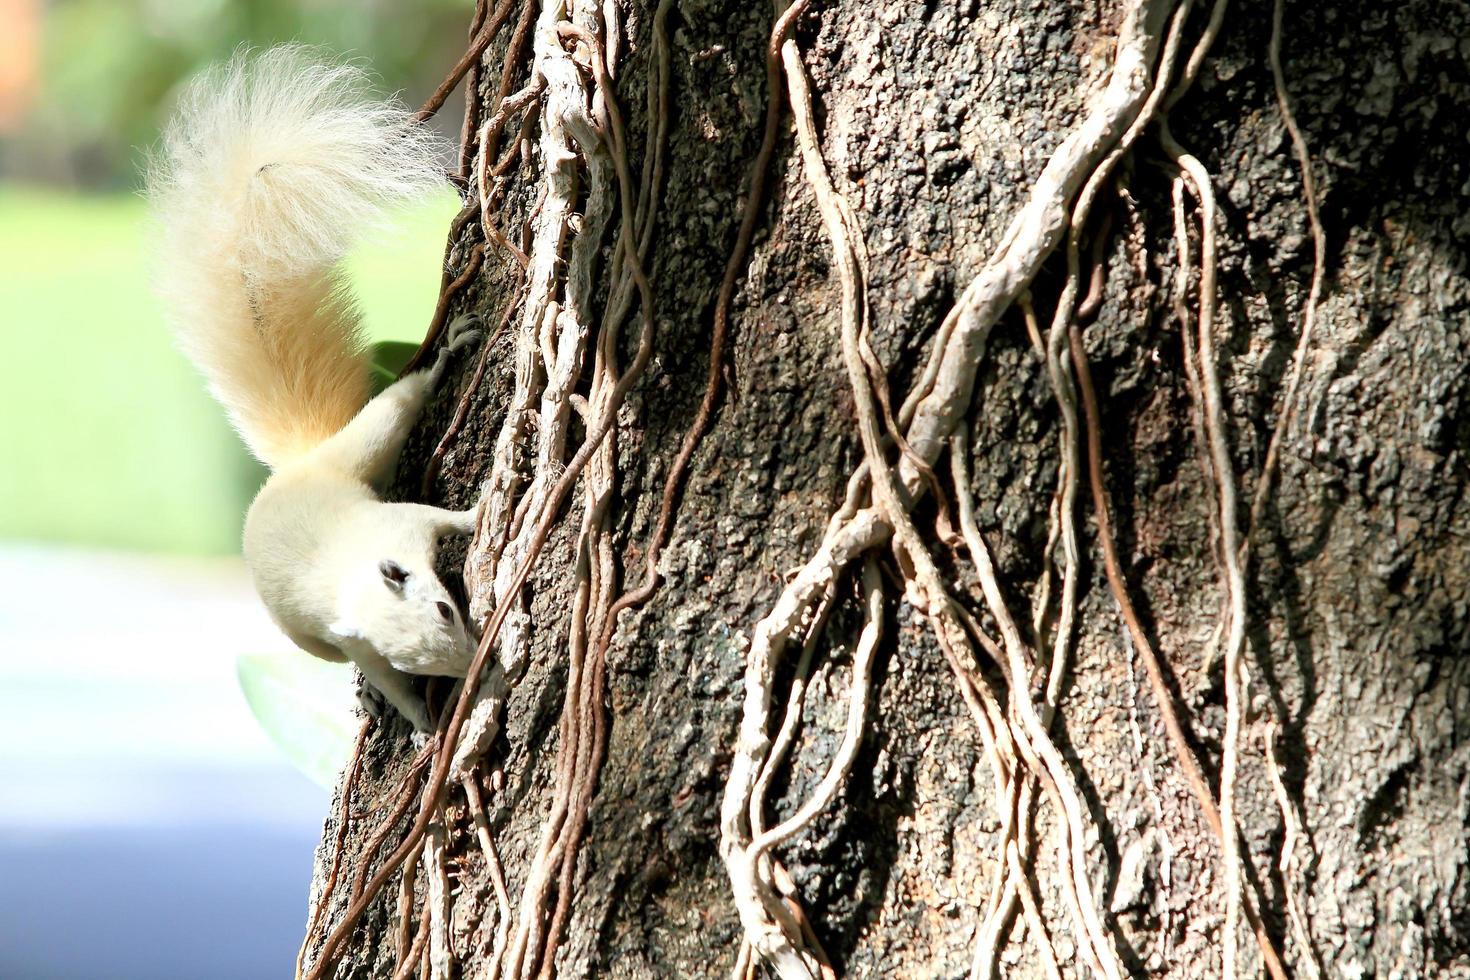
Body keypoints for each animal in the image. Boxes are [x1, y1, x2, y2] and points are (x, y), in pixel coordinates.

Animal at [155, 47, 488, 734]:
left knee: (400, 403)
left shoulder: (400, 524)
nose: (470, 665)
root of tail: (303, 464)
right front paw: (419, 721)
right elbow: (385, 675)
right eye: (415, 659)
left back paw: (448, 353)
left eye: (446, 609)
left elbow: (442, 517)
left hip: (366, 444)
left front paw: (478, 512)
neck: (353, 571)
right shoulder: (356, 634)